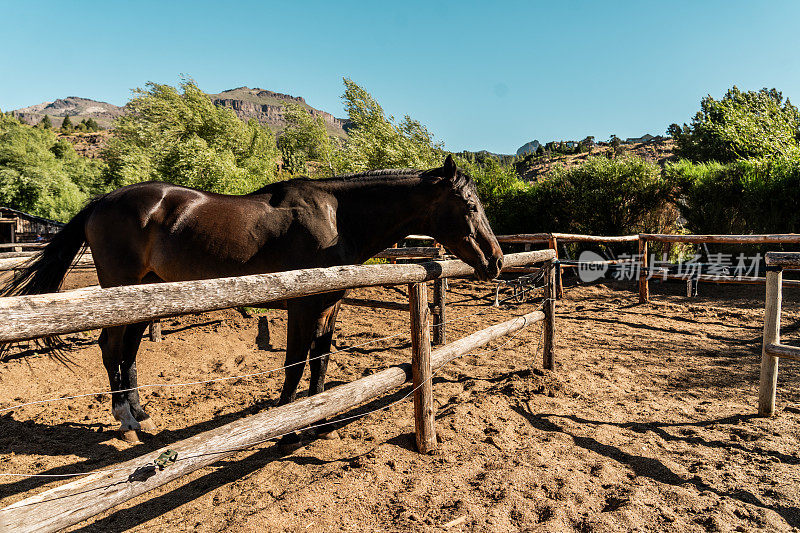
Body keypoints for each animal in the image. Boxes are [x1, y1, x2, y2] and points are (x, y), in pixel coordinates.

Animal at [1, 154, 500, 440]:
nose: (495, 261)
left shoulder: (329, 304)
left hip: (146, 295)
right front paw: (287, 425)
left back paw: (141, 415)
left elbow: (320, 363)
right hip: (120, 291)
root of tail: (100, 200)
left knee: (128, 351)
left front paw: (319, 420)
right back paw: (126, 423)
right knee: (111, 348)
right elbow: (295, 363)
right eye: (470, 206)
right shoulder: (303, 304)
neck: (336, 218)